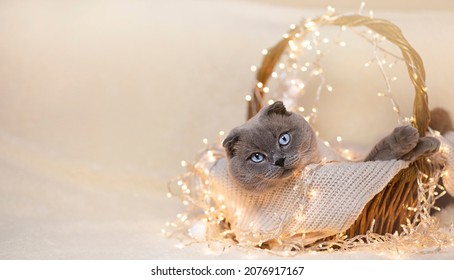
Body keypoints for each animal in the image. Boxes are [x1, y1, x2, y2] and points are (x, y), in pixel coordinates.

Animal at [223, 101, 440, 194]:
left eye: (283, 139)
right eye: (257, 157)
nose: (279, 160)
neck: (321, 159)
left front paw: (430, 143)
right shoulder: (364, 163)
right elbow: (385, 152)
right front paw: (411, 136)